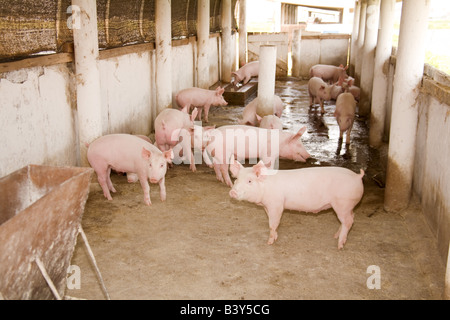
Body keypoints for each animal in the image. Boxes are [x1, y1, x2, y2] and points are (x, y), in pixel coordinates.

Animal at [230, 161, 364, 249]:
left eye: (249, 181)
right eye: (236, 180)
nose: (232, 192)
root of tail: (357, 176)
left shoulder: (276, 204)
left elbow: (272, 224)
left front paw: (269, 242)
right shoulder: (268, 206)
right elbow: (273, 223)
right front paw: (275, 237)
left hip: (342, 203)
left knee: (348, 221)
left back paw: (339, 245)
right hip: (347, 206)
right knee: (350, 218)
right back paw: (335, 236)